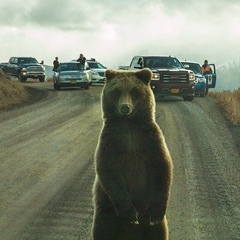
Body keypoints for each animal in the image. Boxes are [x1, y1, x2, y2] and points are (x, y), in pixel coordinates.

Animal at [91, 68, 172, 240]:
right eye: (116, 91)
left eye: (134, 91)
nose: (125, 107)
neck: (129, 126)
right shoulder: (111, 142)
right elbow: (108, 171)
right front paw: (130, 214)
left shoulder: (151, 140)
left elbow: (163, 167)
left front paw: (155, 214)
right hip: (105, 211)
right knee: (103, 230)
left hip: (155, 226)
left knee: (159, 232)